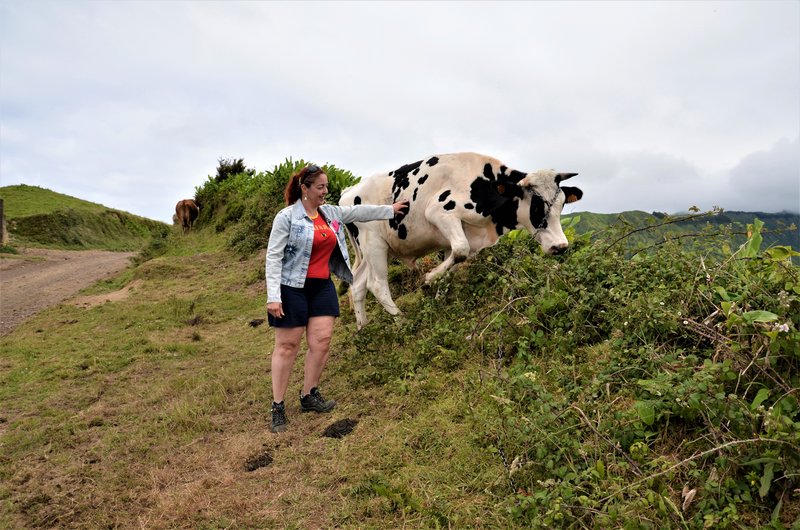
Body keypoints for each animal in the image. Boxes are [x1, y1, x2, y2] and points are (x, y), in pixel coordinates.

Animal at [338, 151, 580, 328]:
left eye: (561, 205)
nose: (560, 246)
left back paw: (363, 328)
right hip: (373, 243)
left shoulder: (458, 239)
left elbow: (453, 265)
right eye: (537, 206)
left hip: (378, 249)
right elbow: (461, 250)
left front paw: (436, 304)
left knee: (358, 284)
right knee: (377, 284)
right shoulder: (439, 212)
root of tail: (349, 190)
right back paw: (402, 321)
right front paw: (428, 278)